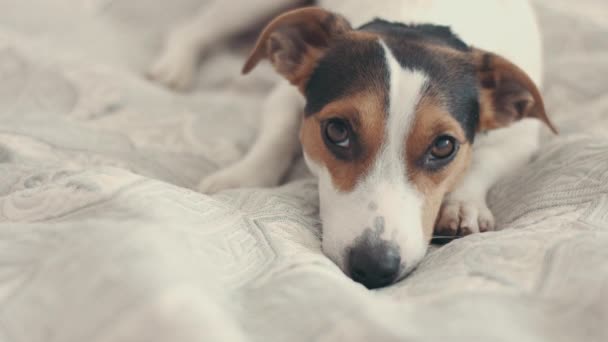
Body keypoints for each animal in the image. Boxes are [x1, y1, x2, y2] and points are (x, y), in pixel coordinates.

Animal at [147, 0, 556, 288]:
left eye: (444, 146)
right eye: (337, 130)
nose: (374, 267)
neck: (416, 18)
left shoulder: (519, 137)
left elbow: (485, 162)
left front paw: (462, 206)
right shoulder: (288, 96)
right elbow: (276, 134)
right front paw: (243, 176)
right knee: (195, 27)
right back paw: (174, 65)